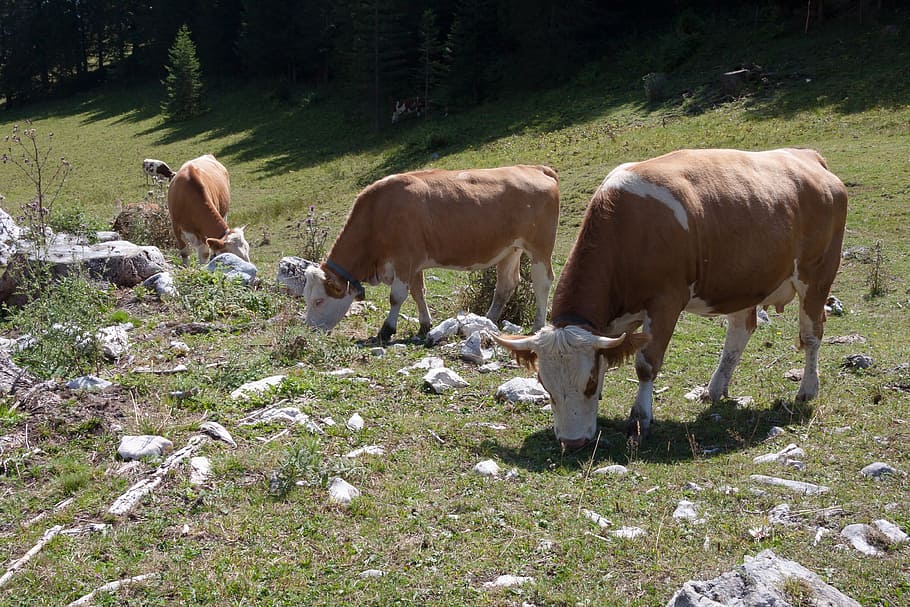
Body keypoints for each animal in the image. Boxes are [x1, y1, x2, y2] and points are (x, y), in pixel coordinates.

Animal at [303, 165, 561, 343]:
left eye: (318, 300)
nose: (309, 330)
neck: (377, 214)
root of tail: (535, 168)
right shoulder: (413, 264)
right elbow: (418, 293)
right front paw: (424, 325)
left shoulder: (404, 260)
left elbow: (396, 296)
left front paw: (386, 330)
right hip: (510, 249)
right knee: (506, 284)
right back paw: (488, 321)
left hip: (539, 247)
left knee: (542, 282)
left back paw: (538, 325)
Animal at [491, 148, 848, 450]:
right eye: (545, 387)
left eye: (589, 384)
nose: (572, 442)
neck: (627, 230)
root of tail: (808, 157)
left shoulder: (665, 302)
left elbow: (646, 364)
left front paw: (640, 419)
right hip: (745, 280)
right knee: (740, 329)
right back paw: (715, 389)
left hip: (817, 276)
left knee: (812, 334)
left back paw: (807, 389)